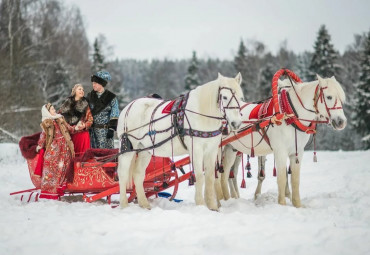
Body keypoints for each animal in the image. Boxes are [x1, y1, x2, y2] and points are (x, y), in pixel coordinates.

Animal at [117, 72, 244, 210]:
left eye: (241, 97)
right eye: (224, 97)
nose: (236, 123)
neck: (202, 112)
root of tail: (128, 107)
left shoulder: (212, 149)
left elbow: (210, 176)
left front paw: (212, 206)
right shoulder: (196, 149)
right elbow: (199, 176)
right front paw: (200, 204)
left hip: (145, 150)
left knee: (138, 174)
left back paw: (144, 204)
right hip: (128, 148)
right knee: (122, 174)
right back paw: (124, 204)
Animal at [217, 74, 346, 207]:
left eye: (342, 98)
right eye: (329, 97)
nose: (341, 122)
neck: (289, 115)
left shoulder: (297, 152)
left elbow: (295, 179)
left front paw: (297, 204)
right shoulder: (280, 151)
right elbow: (282, 178)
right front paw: (282, 203)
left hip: (231, 149)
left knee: (225, 175)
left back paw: (227, 199)